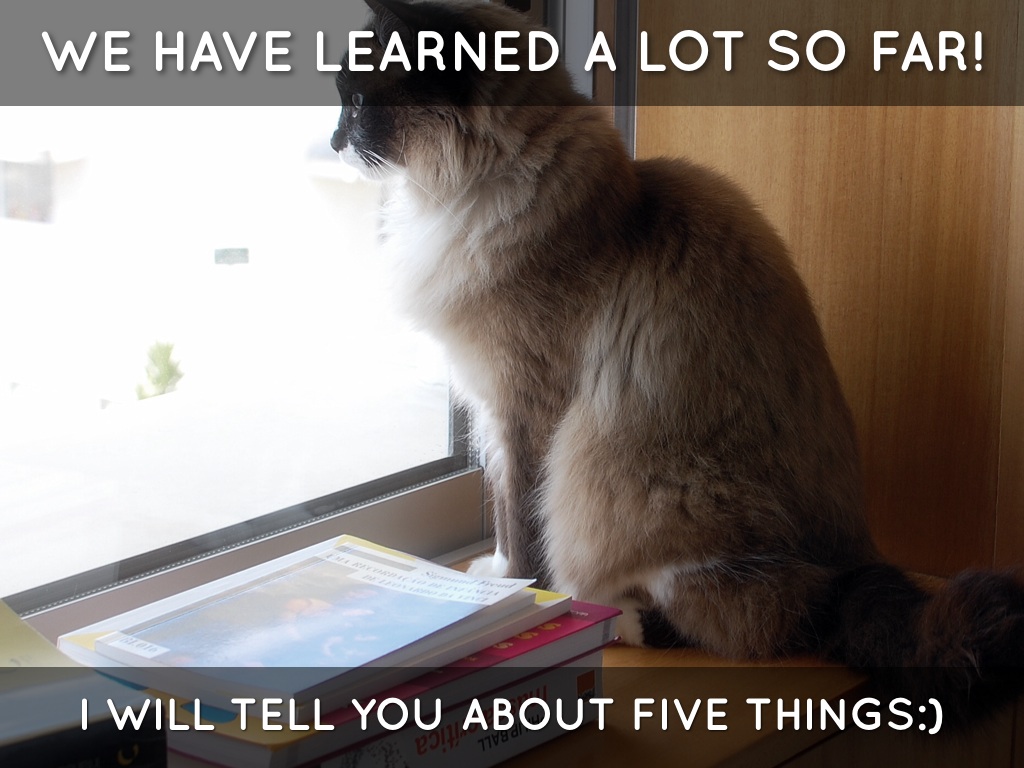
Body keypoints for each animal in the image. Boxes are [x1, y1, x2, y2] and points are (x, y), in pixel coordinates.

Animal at [331, 0, 1024, 722]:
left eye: (355, 102)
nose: (331, 142)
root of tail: (850, 567)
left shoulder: (521, 409)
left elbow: (520, 525)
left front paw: (518, 594)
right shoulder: (493, 411)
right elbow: (500, 515)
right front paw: (499, 581)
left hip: (622, 481)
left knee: (739, 620)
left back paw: (613, 616)